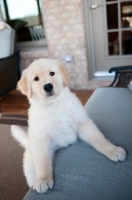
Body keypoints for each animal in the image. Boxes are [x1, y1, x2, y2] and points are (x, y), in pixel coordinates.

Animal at [10, 59, 126, 194]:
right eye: (36, 78)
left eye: (52, 73)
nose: (48, 86)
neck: (54, 104)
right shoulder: (41, 138)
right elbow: (43, 160)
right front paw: (43, 178)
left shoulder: (82, 123)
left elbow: (99, 138)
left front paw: (113, 150)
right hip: (29, 166)